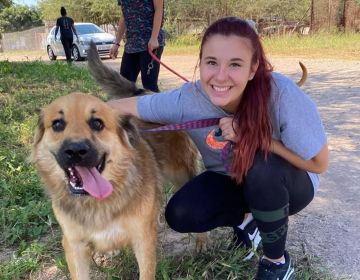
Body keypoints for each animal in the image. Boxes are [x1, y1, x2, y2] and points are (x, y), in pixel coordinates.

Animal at [32, 42, 201, 278]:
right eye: (57, 124)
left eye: (97, 123)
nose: (76, 151)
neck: (98, 203)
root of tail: (144, 92)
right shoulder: (74, 246)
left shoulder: (143, 240)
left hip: (182, 174)